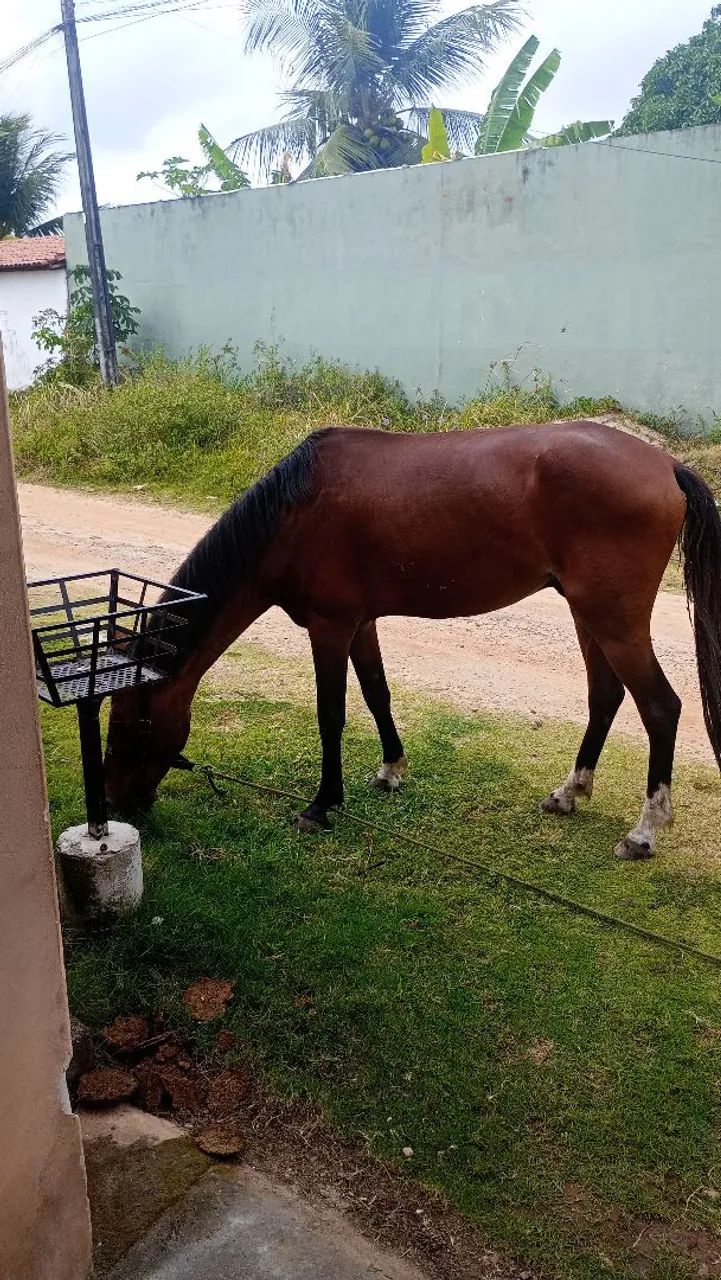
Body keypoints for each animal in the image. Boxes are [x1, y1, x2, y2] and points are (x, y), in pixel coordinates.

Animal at [104, 421, 721, 860]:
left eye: (136, 723)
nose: (116, 803)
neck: (294, 513)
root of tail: (667, 464)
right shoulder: (360, 624)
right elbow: (377, 694)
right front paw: (391, 771)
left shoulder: (330, 627)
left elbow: (331, 713)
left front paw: (321, 804)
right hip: (587, 614)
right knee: (606, 697)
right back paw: (569, 793)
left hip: (614, 620)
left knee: (660, 708)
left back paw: (644, 832)